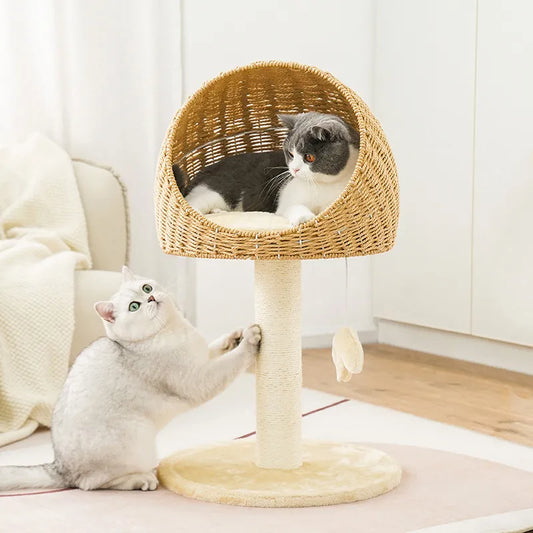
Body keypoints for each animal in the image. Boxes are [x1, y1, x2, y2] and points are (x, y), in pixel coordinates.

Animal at [0, 266, 260, 490]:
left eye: (146, 288)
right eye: (134, 307)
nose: (151, 298)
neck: (173, 329)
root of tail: (59, 467)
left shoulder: (202, 356)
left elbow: (215, 347)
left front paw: (234, 337)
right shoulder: (199, 379)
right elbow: (231, 362)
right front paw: (249, 340)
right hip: (136, 440)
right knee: (90, 483)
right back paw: (141, 480)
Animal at [172, 112, 360, 227]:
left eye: (309, 157)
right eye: (290, 153)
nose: (294, 170)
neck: (324, 185)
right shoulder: (286, 200)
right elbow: (294, 207)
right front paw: (304, 218)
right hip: (215, 192)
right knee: (193, 204)